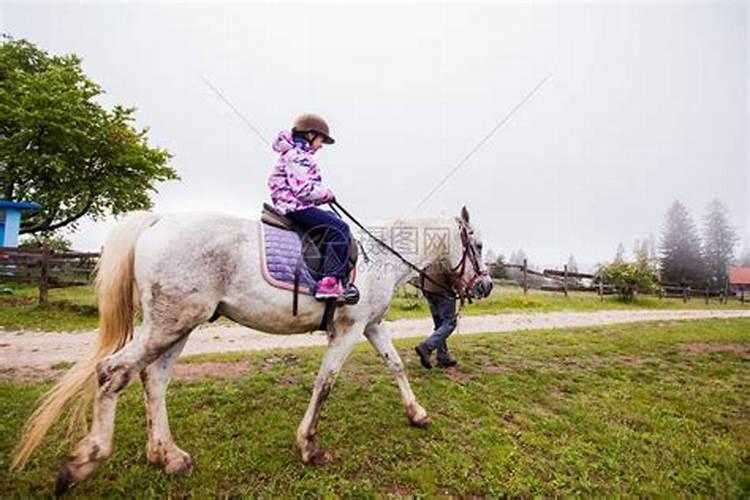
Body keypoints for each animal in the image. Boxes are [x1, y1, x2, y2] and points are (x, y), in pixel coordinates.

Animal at [13, 205, 494, 494]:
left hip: (175, 325)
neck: (381, 258)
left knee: (154, 378)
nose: (486, 285)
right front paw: (309, 447)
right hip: (170, 324)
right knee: (114, 372)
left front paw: (417, 413)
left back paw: (167, 456)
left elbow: (395, 366)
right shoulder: (348, 330)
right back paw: (85, 461)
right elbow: (326, 383)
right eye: (478, 244)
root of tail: (159, 222)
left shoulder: (371, 326)